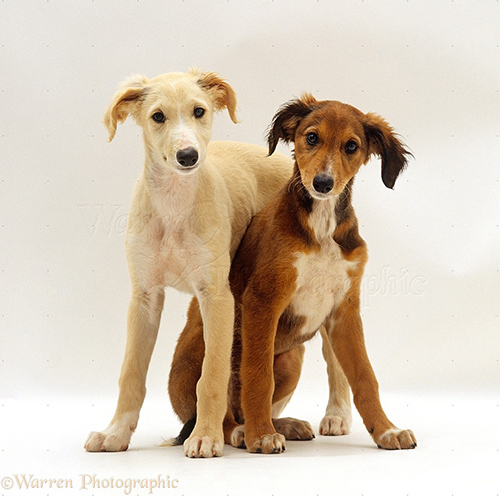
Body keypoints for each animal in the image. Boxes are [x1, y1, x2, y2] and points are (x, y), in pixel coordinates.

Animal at [170, 93, 416, 454]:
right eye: (311, 137)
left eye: (352, 146)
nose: (323, 183)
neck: (321, 227)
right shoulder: (263, 299)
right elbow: (258, 375)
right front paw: (261, 435)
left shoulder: (344, 311)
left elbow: (364, 376)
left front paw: (386, 431)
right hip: (216, 345)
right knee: (217, 404)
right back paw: (240, 431)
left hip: (291, 357)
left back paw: (284, 424)